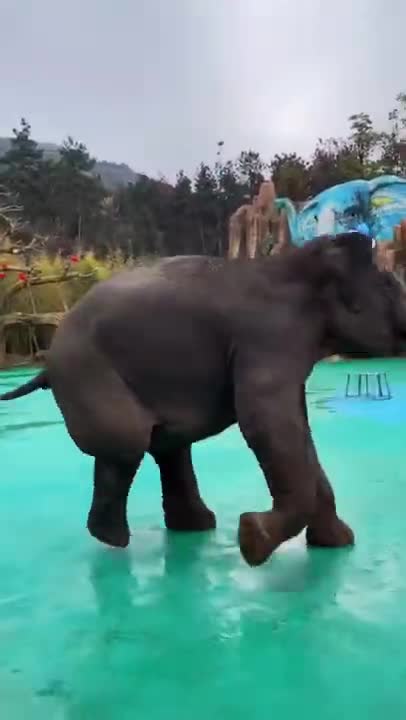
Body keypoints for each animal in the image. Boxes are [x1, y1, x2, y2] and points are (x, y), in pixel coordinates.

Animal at [2, 231, 406, 567]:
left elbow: (297, 430)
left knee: (165, 445)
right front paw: (252, 539)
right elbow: (265, 422)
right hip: (90, 373)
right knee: (128, 444)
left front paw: (337, 543)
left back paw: (190, 527)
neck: (302, 261)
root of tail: (49, 358)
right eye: (389, 283)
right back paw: (115, 539)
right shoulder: (268, 338)